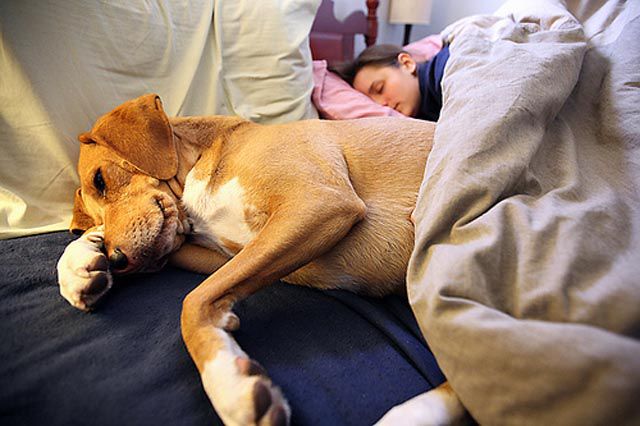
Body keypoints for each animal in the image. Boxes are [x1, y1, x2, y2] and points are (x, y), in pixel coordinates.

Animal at [56, 95, 464, 424]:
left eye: (100, 180)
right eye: (95, 201)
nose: (118, 258)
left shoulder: (317, 203)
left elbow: (192, 301)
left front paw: (227, 384)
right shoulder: (220, 254)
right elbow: (200, 286)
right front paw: (79, 264)